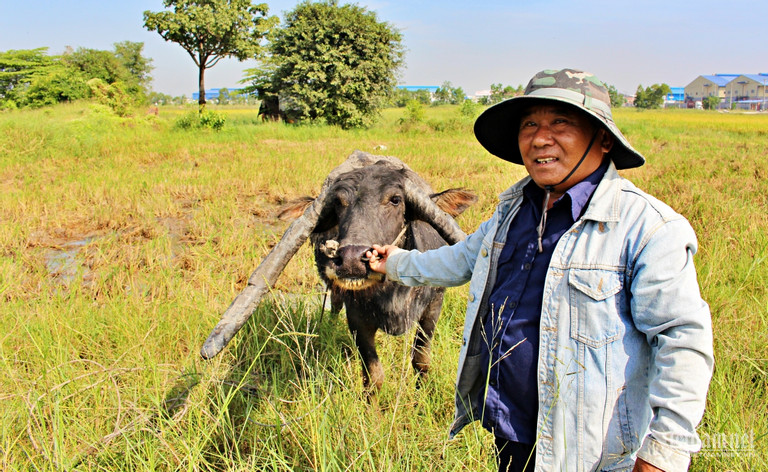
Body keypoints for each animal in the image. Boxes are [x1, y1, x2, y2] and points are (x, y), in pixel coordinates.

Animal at [200, 151, 474, 390]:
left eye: (395, 199)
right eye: (339, 203)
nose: (352, 260)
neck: (392, 293)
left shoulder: (433, 306)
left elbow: (421, 360)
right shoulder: (357, 318)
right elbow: (374, 376)